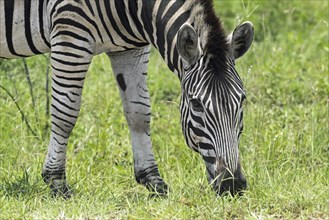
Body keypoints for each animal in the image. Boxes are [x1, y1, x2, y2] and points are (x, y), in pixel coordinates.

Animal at [0, 0, 254, 197]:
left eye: (242, 100)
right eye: (196, 104)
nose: (232, 185)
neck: (132, 9)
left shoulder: (130, 48)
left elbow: (139, 114)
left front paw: (152, 180)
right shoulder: (70, 31)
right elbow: (65, 114)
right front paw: (56, 181)